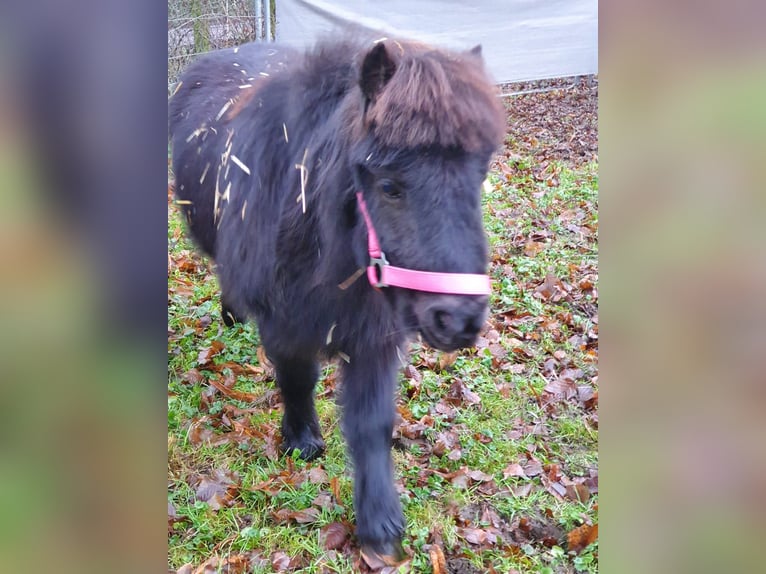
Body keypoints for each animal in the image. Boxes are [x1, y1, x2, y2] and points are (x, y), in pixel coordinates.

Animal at [170, 38, 504, 564]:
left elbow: (371, 423)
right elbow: (298, 380)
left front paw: (380, 524)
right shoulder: (285, 322)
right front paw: (302, 439)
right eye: (389, 186)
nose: (459, 320)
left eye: (480, 176)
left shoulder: (375, 335)